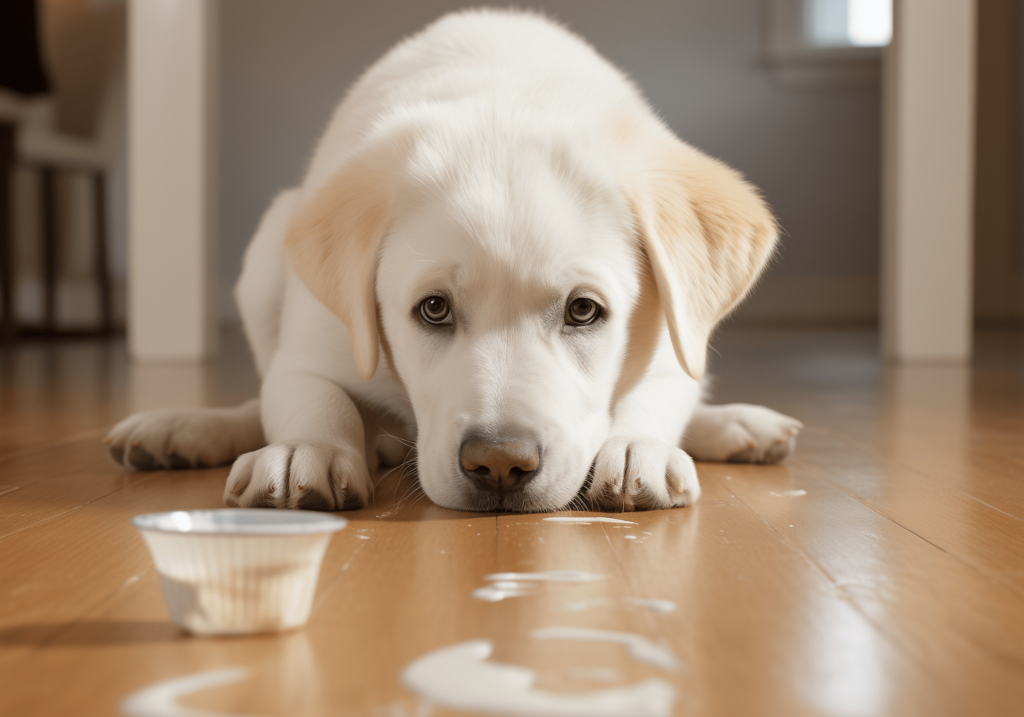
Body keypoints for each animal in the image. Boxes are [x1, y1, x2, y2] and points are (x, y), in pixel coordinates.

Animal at [108, 11, 802, 516]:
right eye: (433, 308)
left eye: (585, 311)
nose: (499, 464)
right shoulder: (314, 347)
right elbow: (312, 396)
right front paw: (307, 450)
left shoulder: (673, 342)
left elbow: (657, 396)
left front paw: (637, 448)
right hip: (263, 261)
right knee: (255, 403)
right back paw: (183, 430)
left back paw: (737, 425)